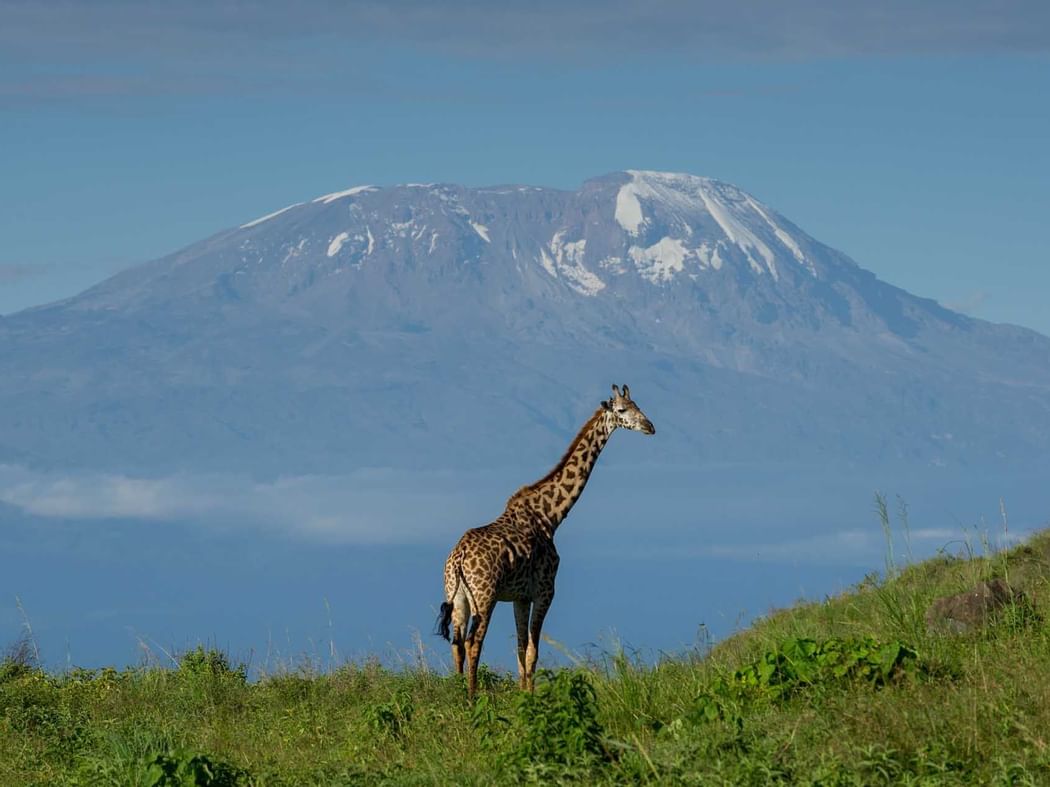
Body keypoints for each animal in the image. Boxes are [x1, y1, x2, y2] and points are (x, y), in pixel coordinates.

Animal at [436, 384, 655, 699]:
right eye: (623, 410)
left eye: (639, 405)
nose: (650, 427)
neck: (550, 516)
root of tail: (459, 558)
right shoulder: (545, 590)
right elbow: (532, 651)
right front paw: (531, 696)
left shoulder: (520, 596)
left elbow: (519, 648)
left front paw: (522, 693)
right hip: (484, 595)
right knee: (472, 641)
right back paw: (472, 696)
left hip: (458, 596)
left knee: (457, 644)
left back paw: (457, 692)